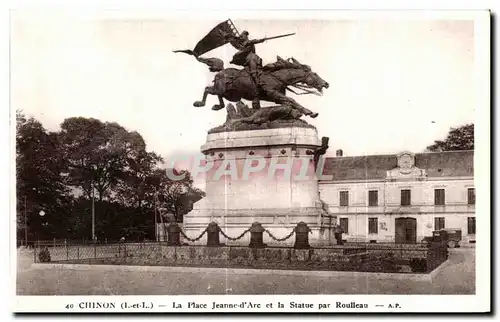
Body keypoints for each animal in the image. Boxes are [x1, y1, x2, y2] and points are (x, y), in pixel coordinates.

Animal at [191, 57, 328, 118]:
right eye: (315, 74)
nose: (326, 84)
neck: (277, 77)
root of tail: (220, 71)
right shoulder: (274, 94)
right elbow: (292, 100)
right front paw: (309, 112)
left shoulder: (275, 98)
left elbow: (289, 102)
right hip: (220, 89)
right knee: (207, 89)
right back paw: (200, 103)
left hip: (228, 92)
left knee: (217, 95)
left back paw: (218, 106)